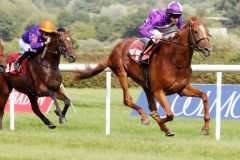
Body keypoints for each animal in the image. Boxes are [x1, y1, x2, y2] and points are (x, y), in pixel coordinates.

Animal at [75, 16, 212, 136]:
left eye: (207, 32)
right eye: (195, 32)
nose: (208, 49)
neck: (175, 61)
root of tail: (111, 53)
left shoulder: (182, 89)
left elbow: (204, 96)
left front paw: (205, 128)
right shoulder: (158, 90)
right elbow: (169, 114)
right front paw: (155, 118)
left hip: (146, 86)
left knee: (151, 106)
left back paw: (165, 129)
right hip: (121, 72)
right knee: (127, 99)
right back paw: (145, 117)